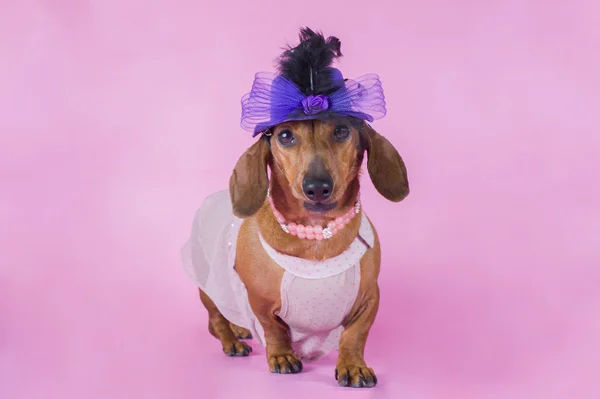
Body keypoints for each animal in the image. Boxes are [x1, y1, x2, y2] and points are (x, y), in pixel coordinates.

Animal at [180, 27, 410, 388]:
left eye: (341, 130)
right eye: (285, 135)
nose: (317, 187)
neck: (317, 235)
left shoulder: (370, 298)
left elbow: (355, 335)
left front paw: (353, 364)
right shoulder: (259, 301)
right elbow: (274, 329)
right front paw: (282, 355)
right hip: (208, 285)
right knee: (215, 319)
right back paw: (232, 339)